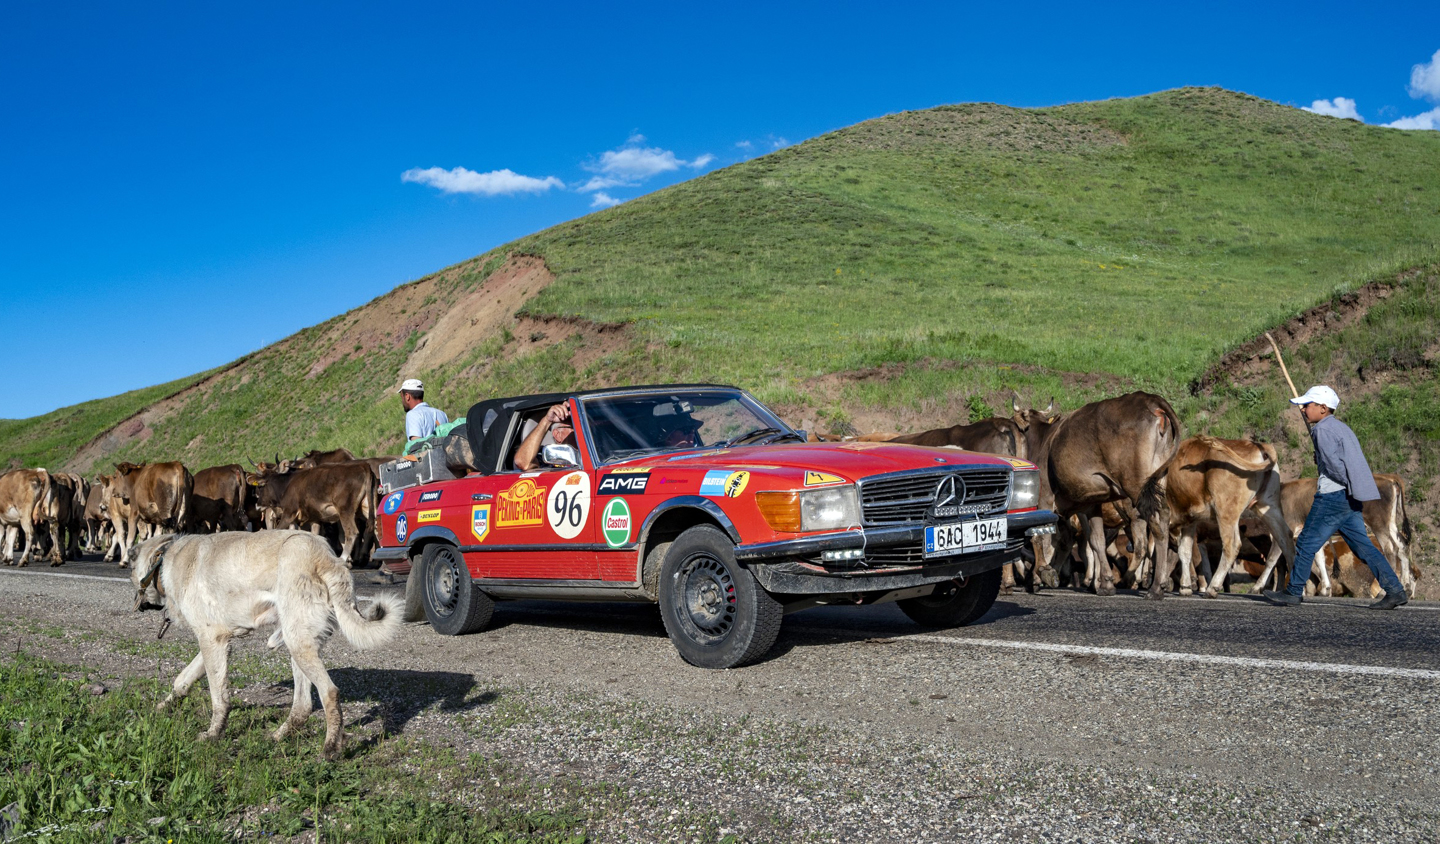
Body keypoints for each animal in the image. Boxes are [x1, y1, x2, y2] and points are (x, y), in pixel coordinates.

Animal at [129, 530, 402, 760]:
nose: (136, 603)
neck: (163, 559)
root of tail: (326, 557)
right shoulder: (216, 643)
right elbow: (182, 680)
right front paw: (164, 706)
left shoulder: (211, 641)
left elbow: (218, 698)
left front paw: (214, 734)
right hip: (297, 644)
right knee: (302, 705)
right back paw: (279, 736)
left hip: (298, 645)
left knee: (330, 693)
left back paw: (330, 747)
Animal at [1014, 392, 1182, 597]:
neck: (1043, 439)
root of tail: (1150, 400)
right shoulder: (1091, 505)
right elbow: (1096, 541)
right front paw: (1106, 583)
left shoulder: (1044, 497)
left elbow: (1040, 536)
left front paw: (1042, 573)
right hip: (1158, 481)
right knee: (1163, 518)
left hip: (1138, 489)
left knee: (1153, 532)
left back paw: (1155, 586)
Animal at [1136, 437, 1295, 599]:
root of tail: (1260, 447)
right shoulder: (1189, 521)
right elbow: (1184, 552)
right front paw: (1185, 588)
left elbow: (1161, 550)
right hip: (1268, 506)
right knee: (1285, 540)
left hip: (1226, 512)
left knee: (1232, 546)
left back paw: (1213, 588)